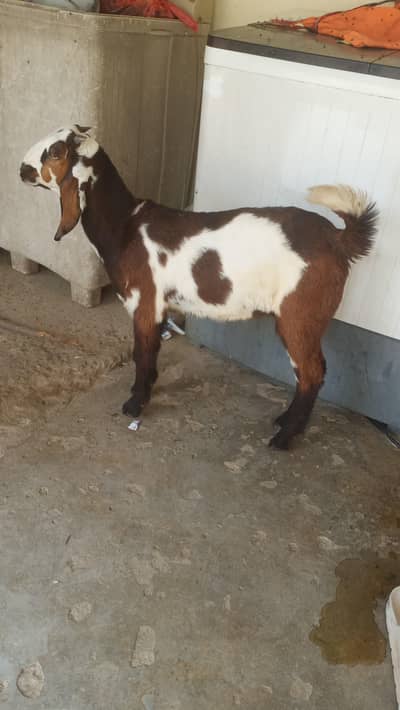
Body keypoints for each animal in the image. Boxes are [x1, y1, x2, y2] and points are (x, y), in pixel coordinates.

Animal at [20, 126, 378, 449]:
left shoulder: (144, 302)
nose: (21, 169)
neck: (125, 225)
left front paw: (135, 405)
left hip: (299, 316)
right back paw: (285, 422)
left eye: (55, 152)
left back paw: (284, 437)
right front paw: (145, 391)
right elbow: (151, 354)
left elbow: (141, 354)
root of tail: (337, 239)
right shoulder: (159, 307)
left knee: (311, 374)